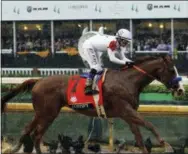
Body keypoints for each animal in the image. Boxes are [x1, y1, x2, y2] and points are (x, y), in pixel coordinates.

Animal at [1, 54, 184, 153]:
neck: (128, 81)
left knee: (31, 131)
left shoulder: (127, 114)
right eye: (171, 70)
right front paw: (166, 144)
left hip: (43, 113)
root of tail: (38, 81)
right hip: (47, 113)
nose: (181, 89)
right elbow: (149, 124)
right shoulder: (125, 110)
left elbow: (139, 138)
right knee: (36, 134)